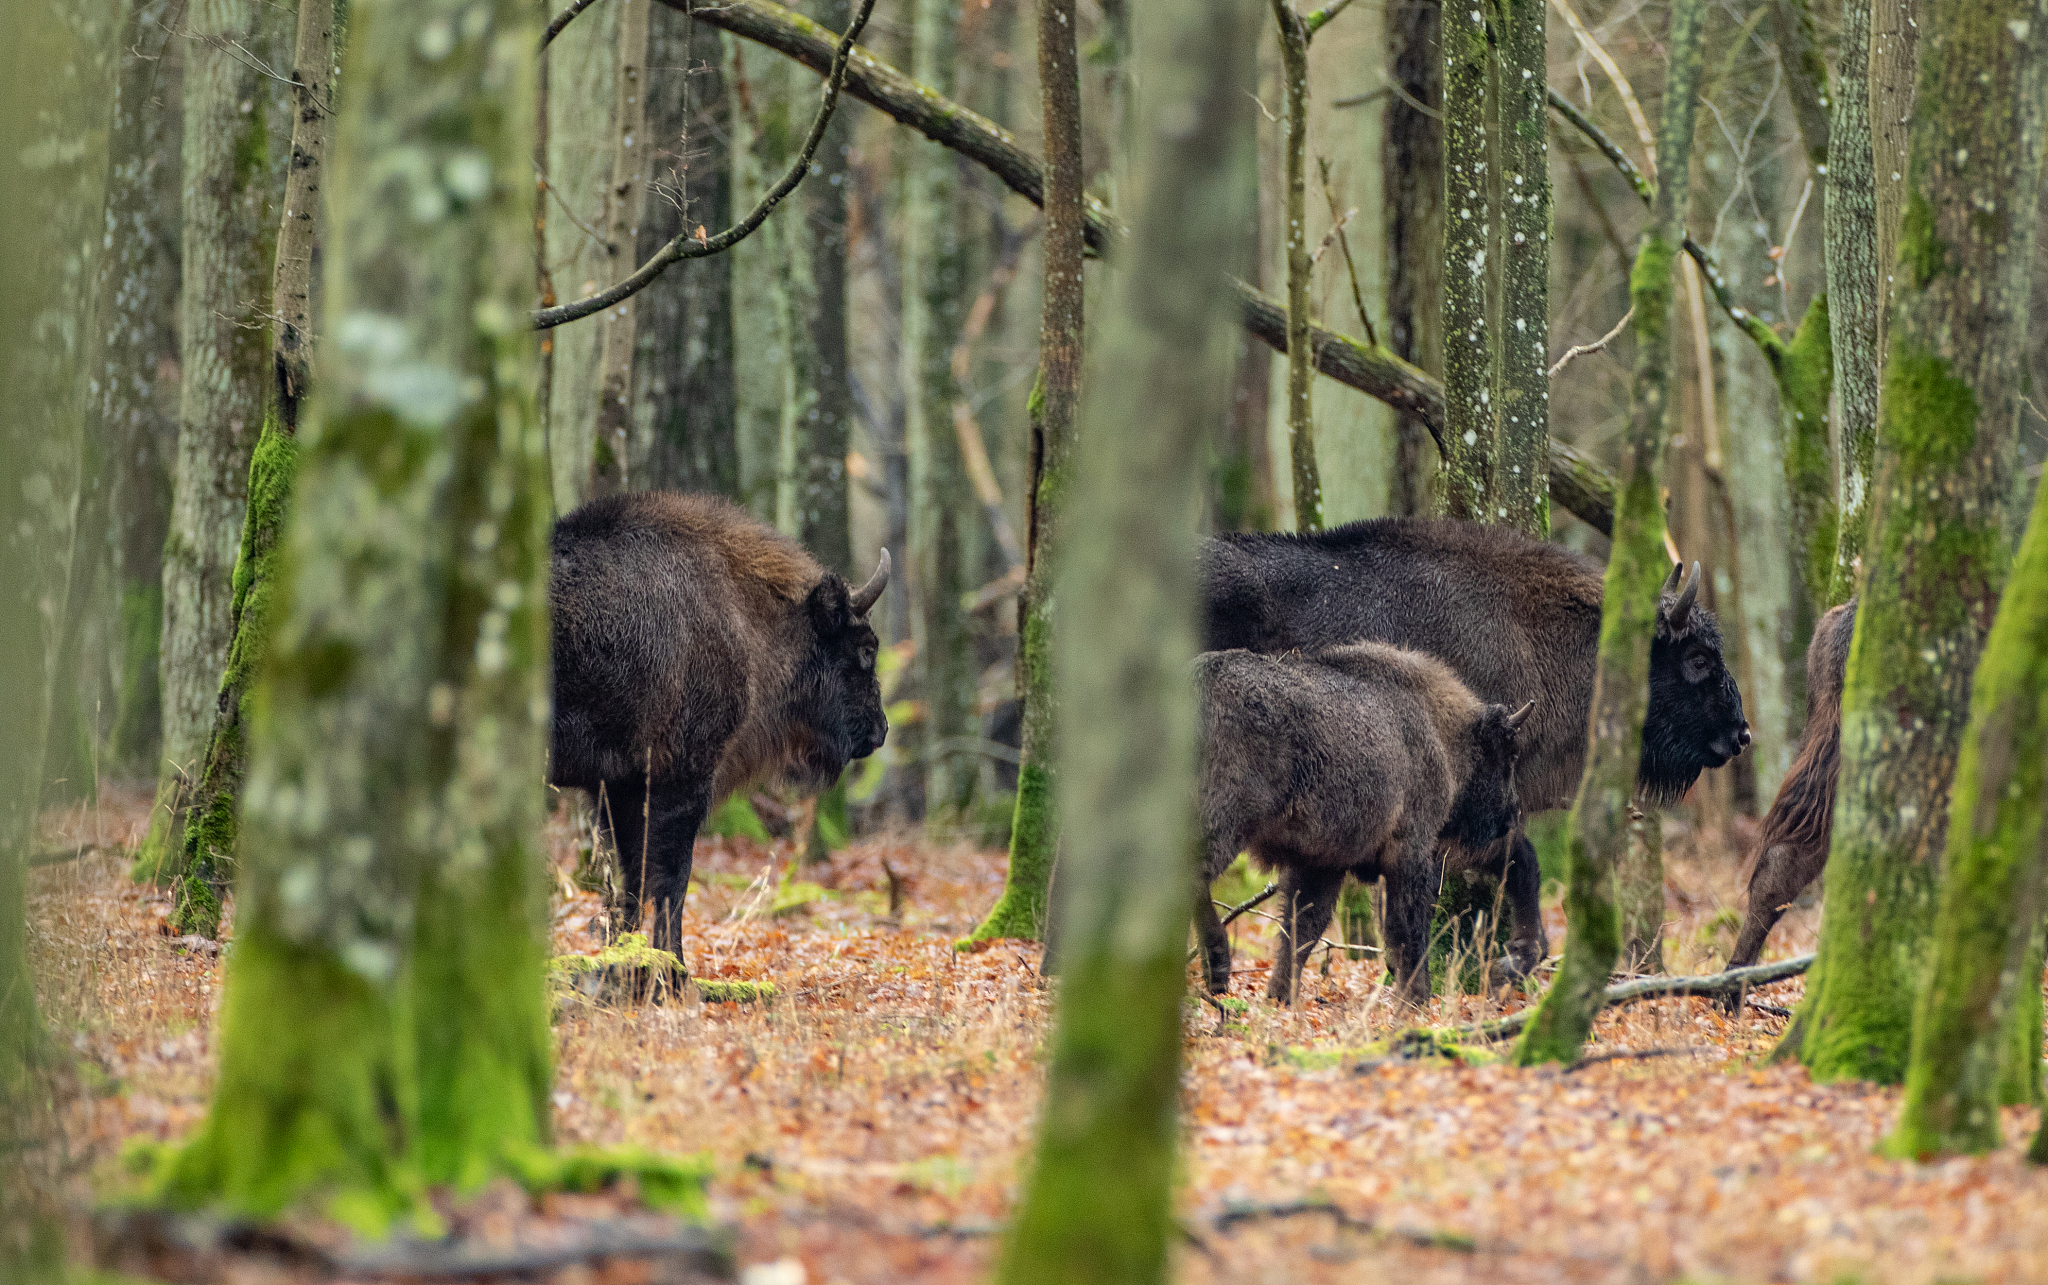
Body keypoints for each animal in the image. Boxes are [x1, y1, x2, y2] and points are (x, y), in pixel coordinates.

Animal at [549, 492, 891, 954]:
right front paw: (672, 966)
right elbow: (671, 881)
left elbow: (632, 882)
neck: (740, 618)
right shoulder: (681, 778)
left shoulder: (619, 786)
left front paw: (624, 956)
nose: (881, 730)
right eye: (867, 648)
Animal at [1193, 643, 1532, 1003]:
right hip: (1227, 821)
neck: (1438, 730)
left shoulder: (1321, 863)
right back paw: (1218, 966)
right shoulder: (1409, 850)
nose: (1512, 814)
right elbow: (1406, 927)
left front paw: (1280, 996)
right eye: (1508, 754)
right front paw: (1417, 998)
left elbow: (1303, 927)